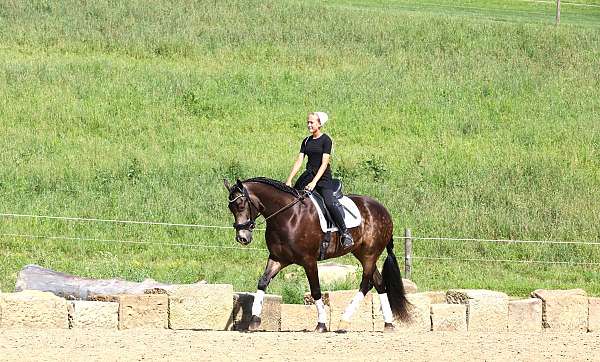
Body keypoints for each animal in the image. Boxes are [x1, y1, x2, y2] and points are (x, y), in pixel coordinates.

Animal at [223, 175, 410, 330]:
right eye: (230, 207)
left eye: (240, 205)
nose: (242, 238)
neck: (287, 216)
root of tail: (383, 210)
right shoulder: (278, 258)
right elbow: (263, 282)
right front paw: (254, 319)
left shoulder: (309, 261)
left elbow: (315, 290)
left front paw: (321, 324)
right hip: (362, 253)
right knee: (379, 283)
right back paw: (388, 324)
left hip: (370, 253)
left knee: (365, 284)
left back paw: (344, 321)